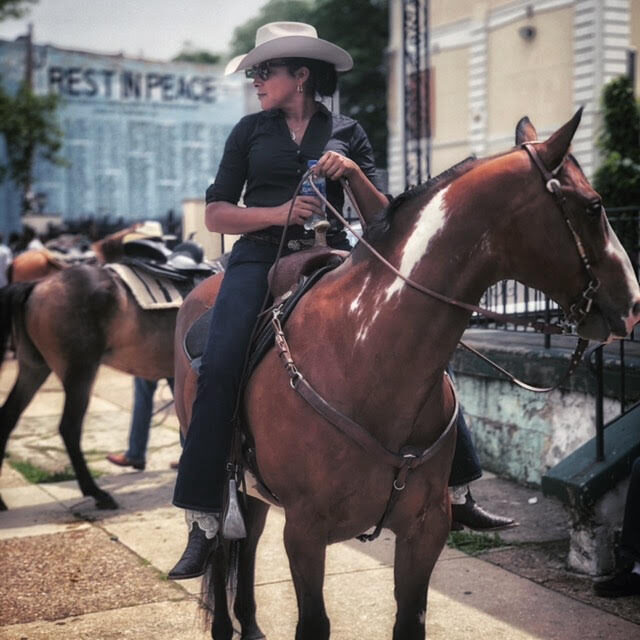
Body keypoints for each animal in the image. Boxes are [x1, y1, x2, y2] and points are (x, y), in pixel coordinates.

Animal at [172, 111, 640, 640]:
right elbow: (313, 621)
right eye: (593, 206)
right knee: (222, 548)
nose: (632, 304)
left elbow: (409, 619)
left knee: (247, 542)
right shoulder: (306, 531)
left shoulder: (424, 528)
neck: (365, 355)